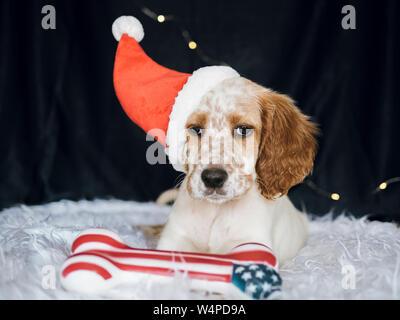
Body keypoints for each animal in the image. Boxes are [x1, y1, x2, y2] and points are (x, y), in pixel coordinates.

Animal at [156, 77, 318, 264]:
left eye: (243, 129)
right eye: (196, 129)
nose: (213, 178)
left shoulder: (253, 246)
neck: (217, 211)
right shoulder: (173, 240)